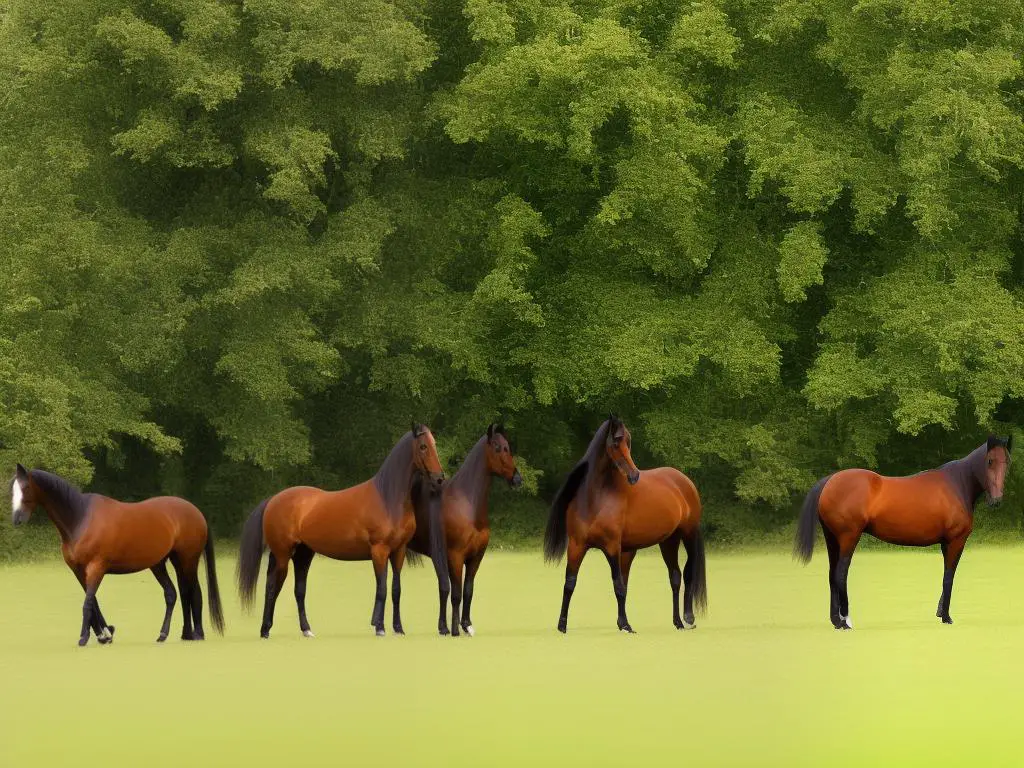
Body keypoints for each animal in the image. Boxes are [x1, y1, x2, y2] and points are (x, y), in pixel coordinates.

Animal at [9, 466, 225, 647]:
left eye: (26, 488)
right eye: (12, 490)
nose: (16, 519)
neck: (80, 519)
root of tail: (195, 511)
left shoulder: (96, 567)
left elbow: (88, 603)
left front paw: (85, 637)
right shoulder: (79, 570)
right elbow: (94, 602)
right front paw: (104, 634)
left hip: (188, 559)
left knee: (193, 592)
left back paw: (197, 634)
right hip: (163, 563)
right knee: (174, 593)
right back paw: (172, 634)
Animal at [239, 423, 448, 638]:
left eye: (434, 444)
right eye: (423, 446)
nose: (439, 478)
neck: (388, 498)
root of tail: (273, 500)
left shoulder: (399, 551)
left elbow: (396, 590)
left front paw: (398, 628)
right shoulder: (379, 551)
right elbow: (381, 588)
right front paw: (379, 627)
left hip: (303, 554)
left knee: (299, 590)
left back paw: (306, 630)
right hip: (283, 554)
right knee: (272, 586)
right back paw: (265, 630)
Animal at [405, 423, 520, 634]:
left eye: (508, 447)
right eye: (498, 448)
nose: (517, 479)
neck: (467, 504)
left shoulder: (475, 557)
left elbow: (467, 590)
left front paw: (466, 625)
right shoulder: (455, 557)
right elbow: (455, 593)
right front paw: (454, 629)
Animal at [544, 417, 704, 634]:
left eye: (628, 441)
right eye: (616, 441)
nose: (634, 476)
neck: (595, 499)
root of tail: (684, 481)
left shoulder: (612, 547)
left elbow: (618, 585)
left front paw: (625, 624)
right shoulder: (576, 546)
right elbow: (570, 583)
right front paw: (562, 625)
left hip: (688, 534)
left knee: (688, 573)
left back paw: (688, 617)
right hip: (669, 541)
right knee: (675, 577)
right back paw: (677, 622)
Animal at [794, 436, 1011, 626]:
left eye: (1007, 461)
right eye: (989, 461)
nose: (996, 500)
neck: (957, 484)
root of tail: (830, 481)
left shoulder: (945, 543)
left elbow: (946, 575)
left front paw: (940, 611)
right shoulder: (956, 540)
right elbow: (949, 577)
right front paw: (946, 617)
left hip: (832, 539)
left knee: (832, 574)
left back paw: (835, 621)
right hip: (848, 537)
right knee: (840, 574)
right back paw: (845, 621)